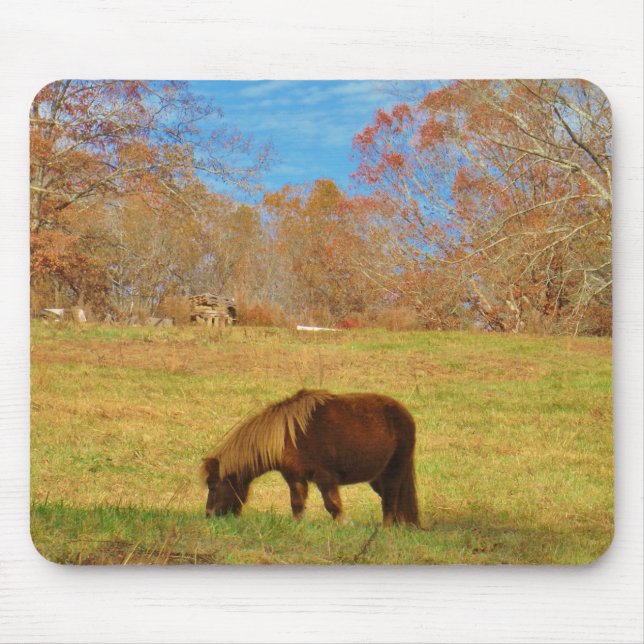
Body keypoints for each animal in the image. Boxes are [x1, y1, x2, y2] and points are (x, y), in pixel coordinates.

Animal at [200, 389, 419, 526]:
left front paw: (344, 525)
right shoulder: (295, 478)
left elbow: (332, 506)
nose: (209, 516)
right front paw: (299, 527)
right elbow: (297, 505)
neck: (287, 436)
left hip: (393, 472)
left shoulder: (325, 478)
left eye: (213, 486)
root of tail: (405, 414)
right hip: (377, 478)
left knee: (390, 502)